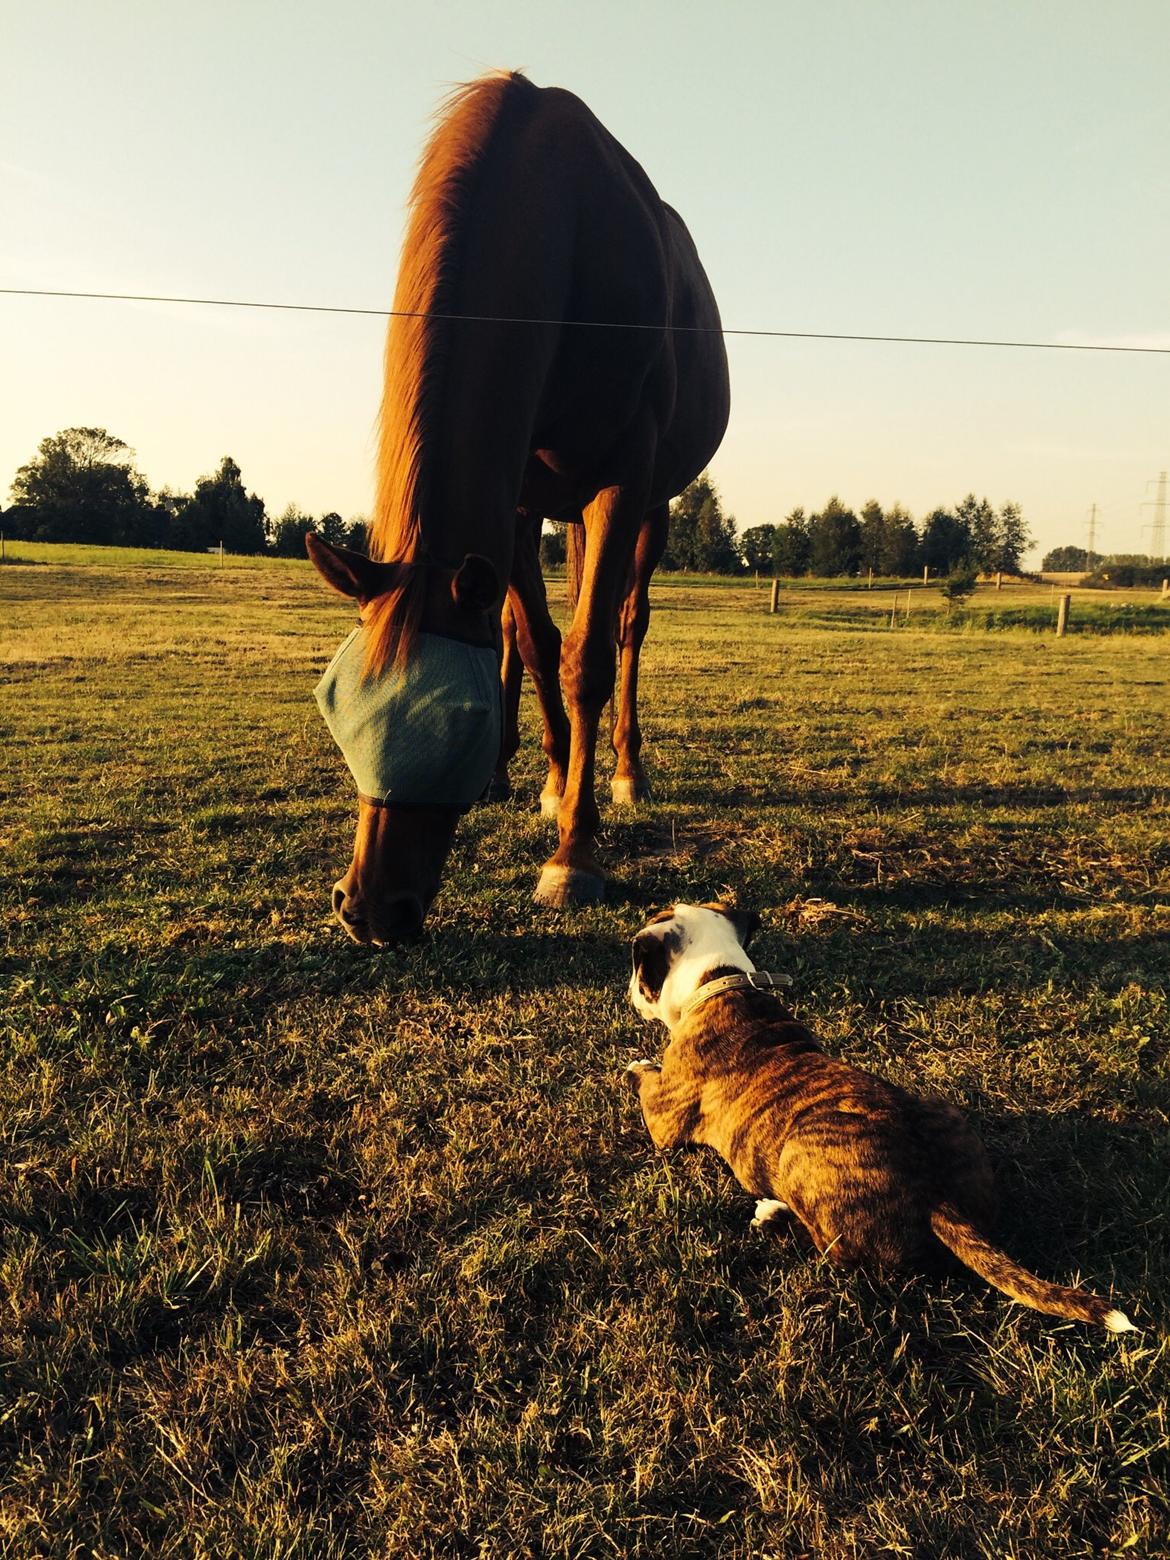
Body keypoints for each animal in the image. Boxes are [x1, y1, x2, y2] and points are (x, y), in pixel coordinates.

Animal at [312, 73, 733, 942]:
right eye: (336, 705)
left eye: (454, 721)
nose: (370, 909)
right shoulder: (512, 502)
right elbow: (536, 645)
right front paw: (547, 778)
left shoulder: (625, 478)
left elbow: (587, 658)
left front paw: (575, 850)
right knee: (517, 628)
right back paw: (524, 772)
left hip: (651, 507)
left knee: (629, 626)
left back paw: (626, 772)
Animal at [633, 904, 1135, 1329]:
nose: (629, 990)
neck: (723, 979)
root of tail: (935, 1195)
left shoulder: (663, 1120)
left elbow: (646, 1081)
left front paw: (637, 1065)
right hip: (942, 1110)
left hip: (800, 1149)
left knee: (834, 1252)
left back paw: (774, 1214)